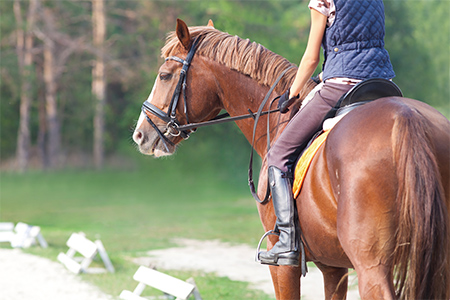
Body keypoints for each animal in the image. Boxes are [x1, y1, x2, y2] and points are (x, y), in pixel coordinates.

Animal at [133, 19, 450, 298]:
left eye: (164, 75)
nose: (140, 134)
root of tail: (405, 117)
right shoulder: (334, 267)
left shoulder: (283, 266)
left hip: (372, 265)